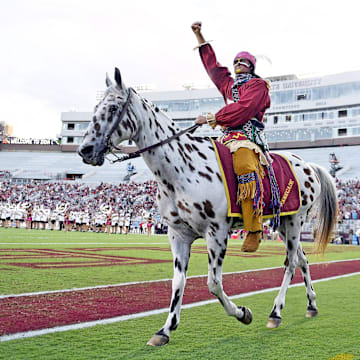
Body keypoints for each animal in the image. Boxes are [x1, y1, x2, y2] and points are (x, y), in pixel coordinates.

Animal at [77, 67, 338, 346]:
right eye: (96, 107)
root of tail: (309, 165)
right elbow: (178, 282)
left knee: (290, 263)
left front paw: (243, 313)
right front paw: (165, 329)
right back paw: (311, 305)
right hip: (283, 224)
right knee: (302, 259)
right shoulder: (178, 234)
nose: (85, 150)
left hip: (295, 222)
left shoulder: (217, 232)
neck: (182, 168)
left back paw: (276, 312)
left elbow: (213, 283)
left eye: (114, 108)